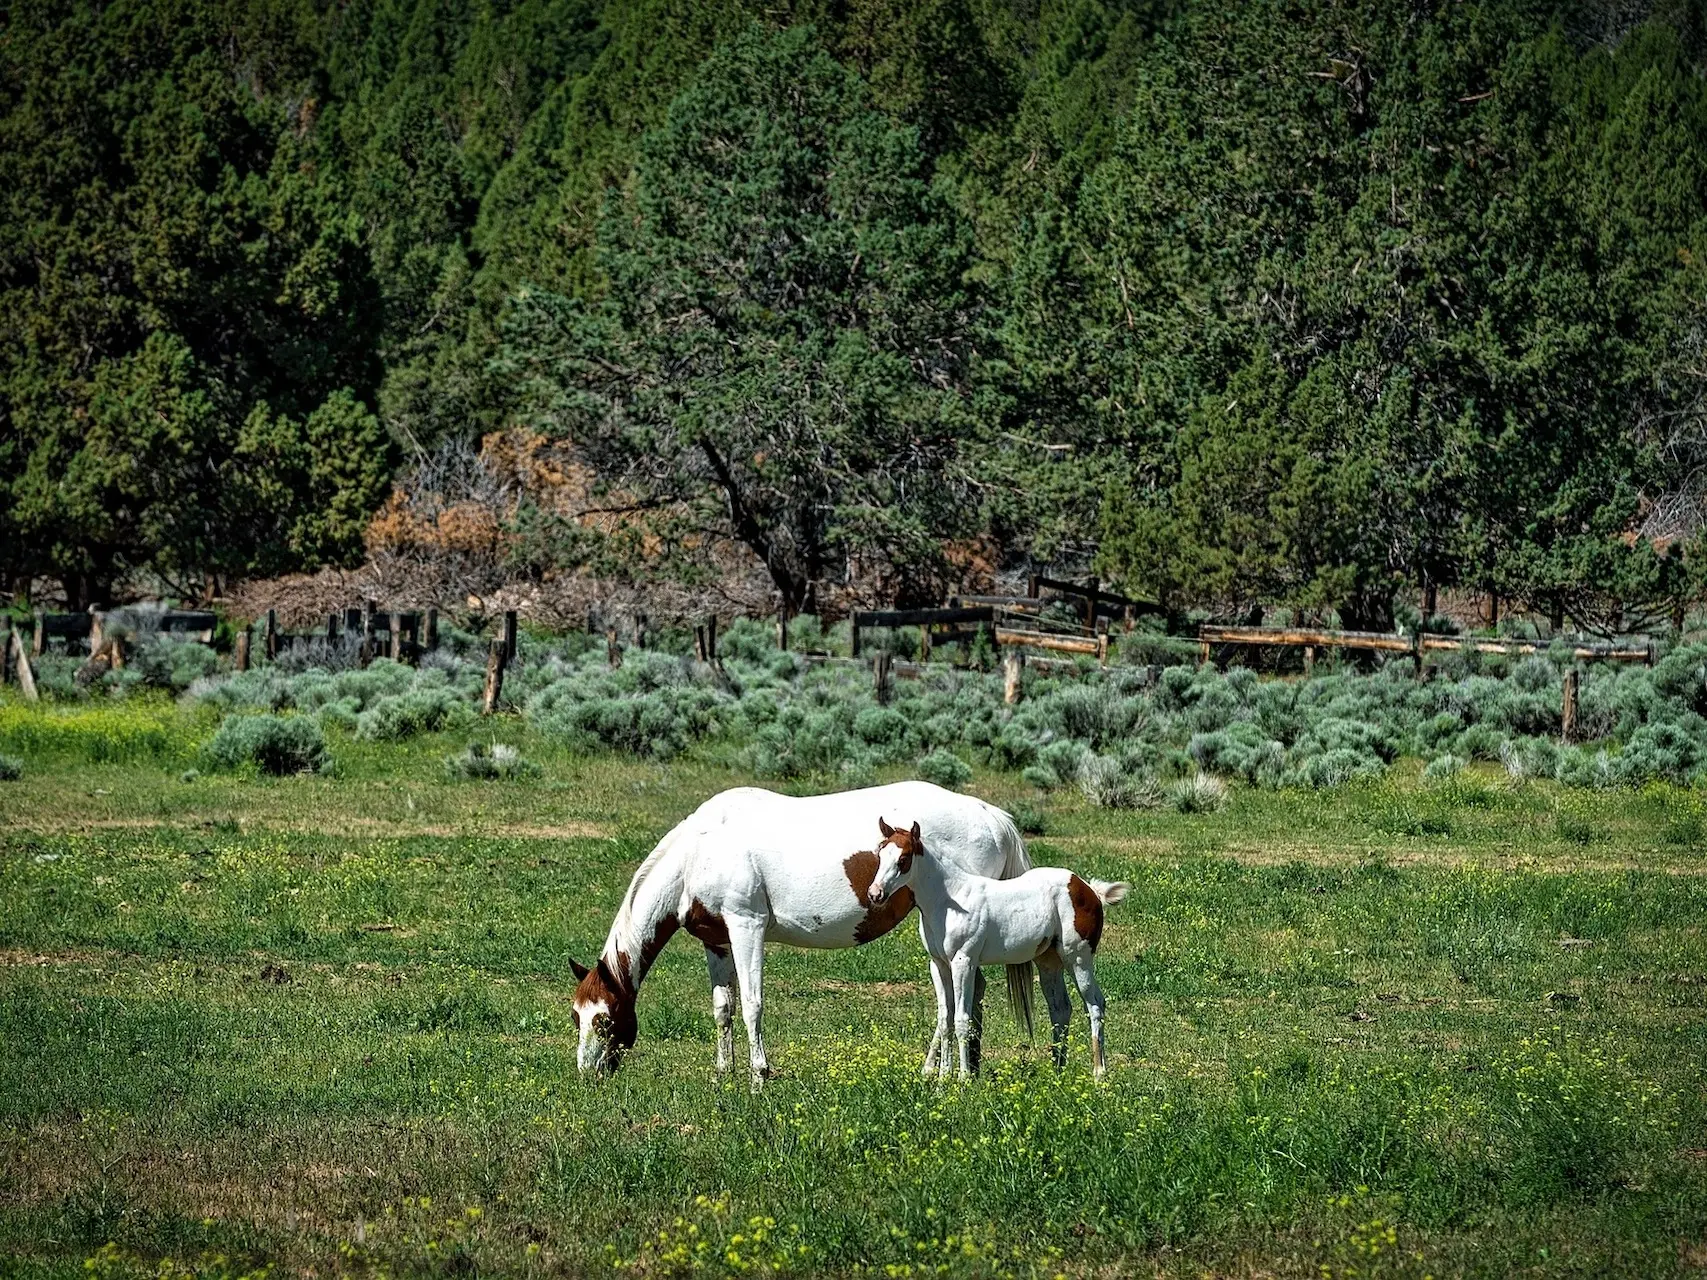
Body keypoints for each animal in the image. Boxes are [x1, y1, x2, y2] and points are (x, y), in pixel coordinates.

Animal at [566, 781, 1031, 1092]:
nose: (586, 1073)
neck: (700, 850)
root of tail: (991, 816)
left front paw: (758, 1077)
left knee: (964, 996)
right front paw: (723, 1074)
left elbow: (752, 1005)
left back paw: (953, 1072)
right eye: (575, 1016)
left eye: (604, 1019)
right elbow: (723, 1009)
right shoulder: (716, 941)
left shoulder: (747, 928)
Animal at [867, 822, 1133, 1085]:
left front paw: (963, 1080)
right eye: (880, 854)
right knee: (1060, 1009)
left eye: (903, 858)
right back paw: (1056, 1071)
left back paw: (1099, 1073)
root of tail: (1088, 889)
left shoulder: (963, 962)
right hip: (1049, 963)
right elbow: (944, 1020)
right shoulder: (939, 965)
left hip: (1078, 959)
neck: (949, 899)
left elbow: (962, 1019)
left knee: (1095, 1004)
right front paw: (943, 1080)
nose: (875, 894)